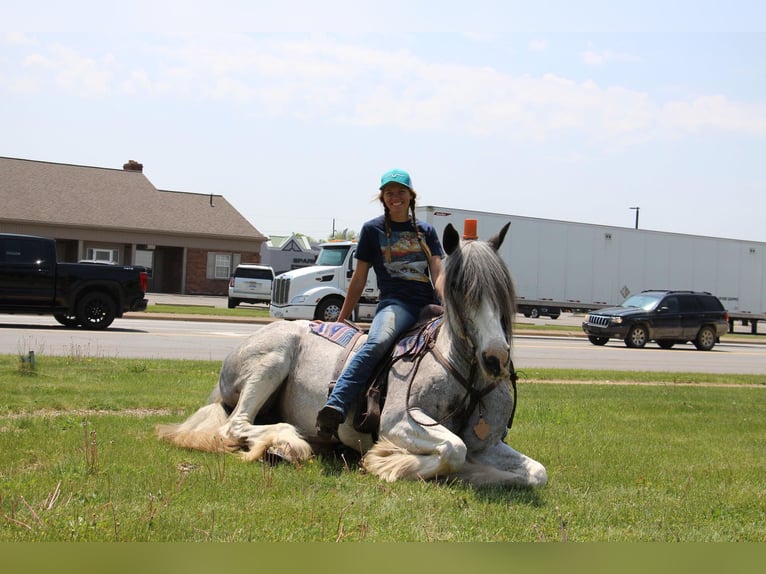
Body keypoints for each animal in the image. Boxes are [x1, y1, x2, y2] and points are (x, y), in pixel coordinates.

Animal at [159, 223, 548, 488]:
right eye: (457, 288)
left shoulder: (489, 442)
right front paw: (389, 461)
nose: (495, 359)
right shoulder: (399, 421)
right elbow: (454, 450)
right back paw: (287, 442)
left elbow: (536, 473)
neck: (462, 373)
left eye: (502, 289)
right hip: (272, 360)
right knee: (236, 425)